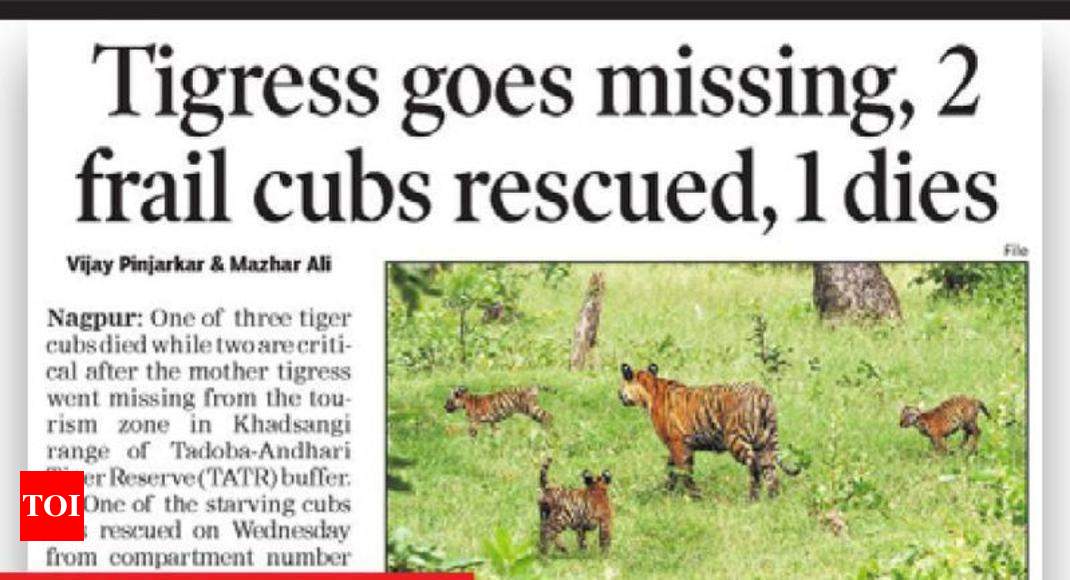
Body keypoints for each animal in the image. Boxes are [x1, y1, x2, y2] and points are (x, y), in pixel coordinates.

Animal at [620, 365, 796, 502]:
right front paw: (666, 490)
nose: (619, 395)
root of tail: (762, 394)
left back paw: (752, 498)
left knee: (754, 465)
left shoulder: (677, 444)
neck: (651, 389)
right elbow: (671, 469)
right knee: (770, 470)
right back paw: (773, 498)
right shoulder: (679, 446)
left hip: (736, 439)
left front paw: (695, 496)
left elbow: (684, 472)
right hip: (764, 441)